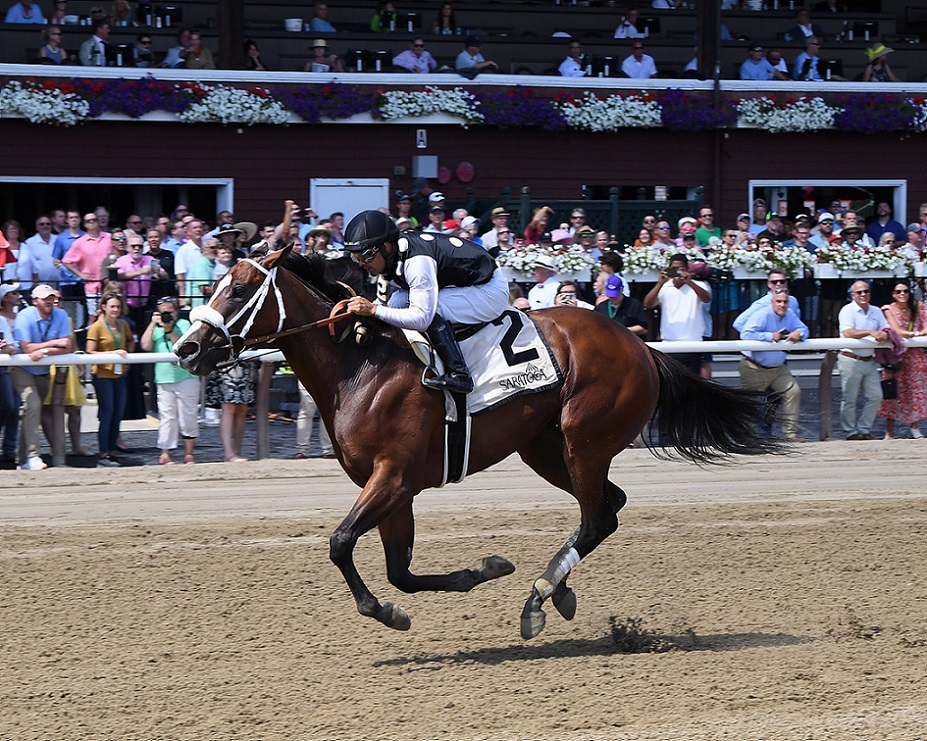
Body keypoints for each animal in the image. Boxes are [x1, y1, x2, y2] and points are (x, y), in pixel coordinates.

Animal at [174, 246, 780, 639]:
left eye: (239, 289)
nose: (186, 348)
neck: (359, 365)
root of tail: (640, 345)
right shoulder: (394, 487)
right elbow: (400, 571)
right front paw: (478, 572)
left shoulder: (393, 477)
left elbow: (341, 543)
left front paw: (385, 609)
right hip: (545, 448)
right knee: (606, 507)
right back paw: (554, 591)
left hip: (583, 439)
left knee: (596, 517)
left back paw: (540, 596)